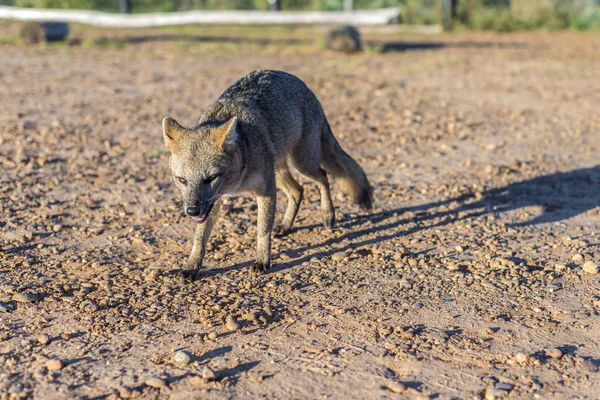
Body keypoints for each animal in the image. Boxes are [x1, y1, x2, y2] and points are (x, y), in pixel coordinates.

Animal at [162, 69, 372, 280]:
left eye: (210, 178)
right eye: (182, 180)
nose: (192, 211)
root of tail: (300, 82)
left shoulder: (265, 189)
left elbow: (262, 229)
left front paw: (262, 261)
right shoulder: (214, 202)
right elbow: (199, 237)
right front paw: (192, 266)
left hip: (302, 164)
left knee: (323, 176)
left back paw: (328, 215)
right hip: (279, 171)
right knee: (298, 190)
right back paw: (286, 225)